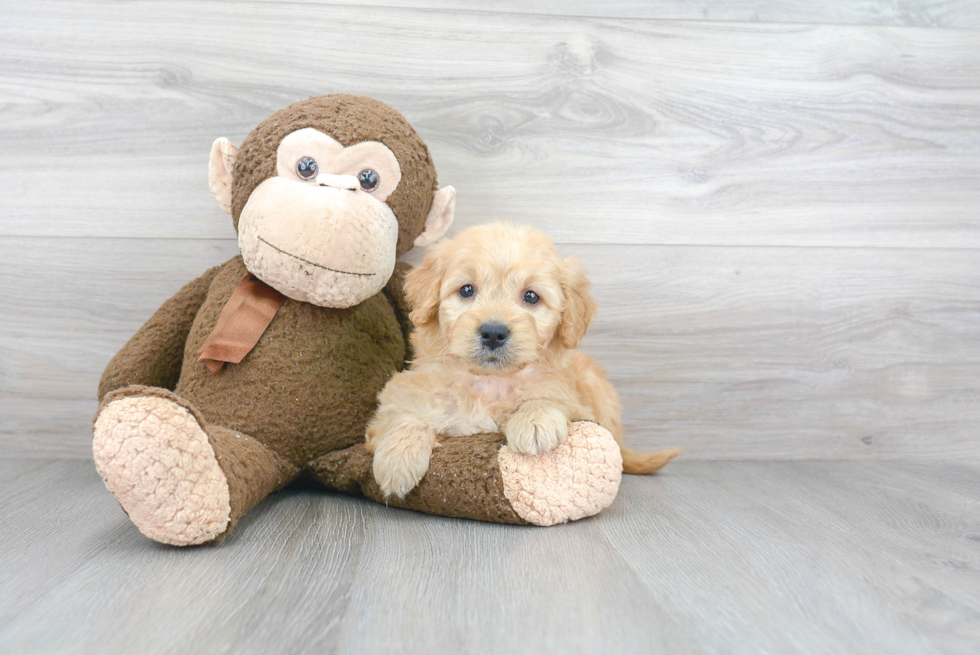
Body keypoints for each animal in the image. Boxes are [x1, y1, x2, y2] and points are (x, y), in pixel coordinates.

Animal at [364, 220, 676, 498]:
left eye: (531, 297)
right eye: (466, 290)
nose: (493, 332)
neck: (488, 384)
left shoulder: (577, 404)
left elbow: (550, 396)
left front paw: (534, 421)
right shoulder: (403, 396)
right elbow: (403, 414)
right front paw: (398, 459)